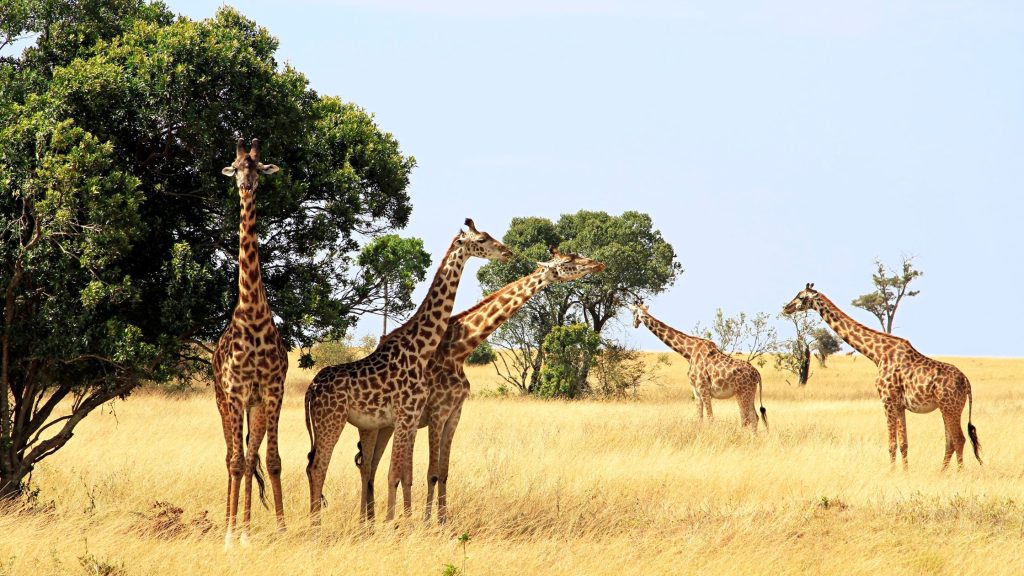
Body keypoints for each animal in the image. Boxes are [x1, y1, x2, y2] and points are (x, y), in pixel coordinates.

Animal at [301, 217, 512, 522]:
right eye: (482, 239)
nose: (507, 252)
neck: (420, 350)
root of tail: (311, 390)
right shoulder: (408, 415)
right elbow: (397, 474)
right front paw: (397, 524)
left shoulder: (410, 419)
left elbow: (404, 474)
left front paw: (403, 522)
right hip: (332, 420)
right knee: (319, 467)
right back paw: (316, 525)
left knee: (330, 466)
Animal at [354, 243, 606, 522]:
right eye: (569, 261)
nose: (598, 264)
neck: (459, 349)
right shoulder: (438, 412)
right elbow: (431, 472)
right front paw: (428, 521)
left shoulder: (455, 412)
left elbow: (443, 472)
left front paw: (442, 520)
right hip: (374, 425)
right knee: (367, 466)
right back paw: (368, 521)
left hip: (387, 425)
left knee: (372, 466)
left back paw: (372, 520)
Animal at [622, 303, 770, 428]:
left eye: (634, 312)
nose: (635, 324)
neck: (688, 352)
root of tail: (757, 374)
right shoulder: (696, 391)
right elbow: (699, 418)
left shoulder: (703, 389)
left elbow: (710, 417)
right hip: (749, 393)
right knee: (754, 417)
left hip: (742, 392)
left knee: (747, 418)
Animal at [782, 280, 983, 469]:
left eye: (801, 297)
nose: (786, 308)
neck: (877, 354)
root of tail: (967, 382)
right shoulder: (900, 405)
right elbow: (904, 444)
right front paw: (905, 473)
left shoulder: (887, 400)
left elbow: (891, 445)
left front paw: (892, 473)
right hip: (946, 407)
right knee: (950, 441)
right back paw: (941, 473)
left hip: (950, 406)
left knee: (959, 439)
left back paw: (958, 473)